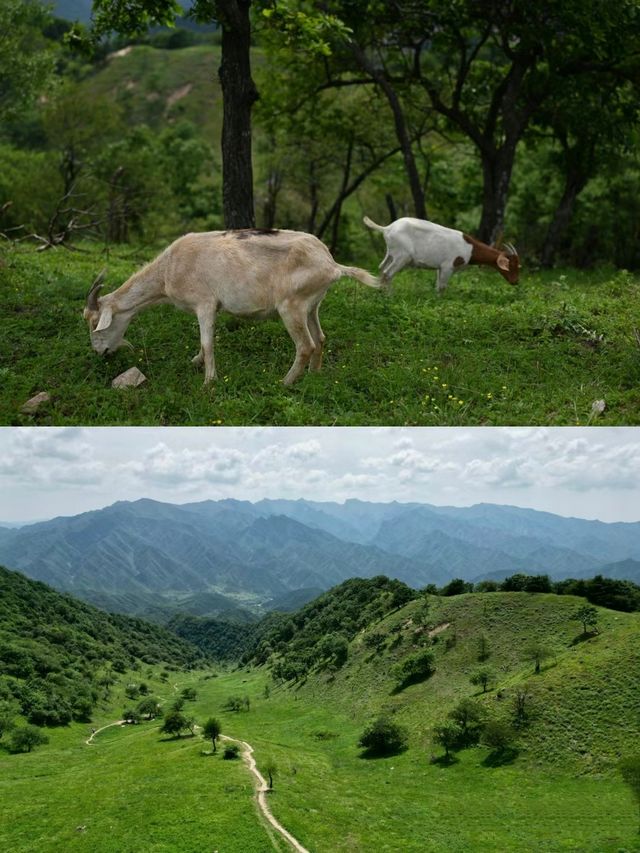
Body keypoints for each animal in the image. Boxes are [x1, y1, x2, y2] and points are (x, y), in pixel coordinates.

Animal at [85, 228, 384, 384]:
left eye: (95, 323)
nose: (100, 353)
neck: (168, 270)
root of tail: (332, 265)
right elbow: (204, 342)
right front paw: (195, 362)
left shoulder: (204, 303)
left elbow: (207, 342)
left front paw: (209, 382)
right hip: (312, 305)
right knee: (320, 338)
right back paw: (314, 375)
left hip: (292, 306)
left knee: (305, 345)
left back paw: (285, 382)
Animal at [362, 215, 516, 292]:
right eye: (513, 265)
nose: (516, 281)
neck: (470, 248)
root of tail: (387, 228)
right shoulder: (448, 266)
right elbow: (442, 287)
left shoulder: (440, 268)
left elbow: (437, 286)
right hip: (402, 256)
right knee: (388, 273)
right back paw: (389, 296)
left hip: (391, 253)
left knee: (382, 268)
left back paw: (379, 292)